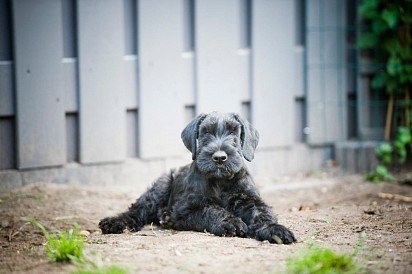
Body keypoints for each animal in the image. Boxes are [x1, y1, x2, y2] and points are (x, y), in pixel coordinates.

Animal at [101, 111, 298, 244]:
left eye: (233, 132)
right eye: (205, 132)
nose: (219, 157)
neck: (220, 181)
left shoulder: (250, 200)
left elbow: (262, 213)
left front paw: (275, 230)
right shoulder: (189, 208)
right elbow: (211, 210)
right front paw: (230, 222)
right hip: (160, 187)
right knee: (137, 210)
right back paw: (115, 222)